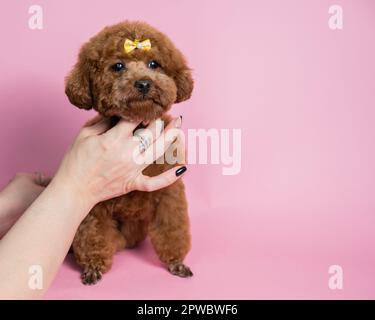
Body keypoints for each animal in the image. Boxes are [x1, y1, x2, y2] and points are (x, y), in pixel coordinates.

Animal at [65, 20, 194, 284]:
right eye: (118, 66)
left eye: (154, 64)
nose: (143, 83)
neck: (137, 125)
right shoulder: (94, 204)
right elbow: (91, 234)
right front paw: (93, 265)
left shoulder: (169, 192)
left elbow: (172, 228)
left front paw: (176, 261)